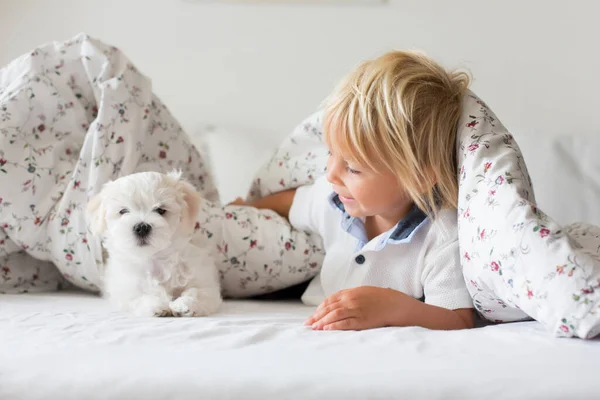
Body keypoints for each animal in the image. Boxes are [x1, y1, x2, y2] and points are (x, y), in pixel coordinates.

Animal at [86, 170, 223, 318]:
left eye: (160, 210)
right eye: (123, 211)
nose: (141, 227)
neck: (155, 259)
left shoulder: (204, 283)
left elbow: (197, 291)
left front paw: (184, 305)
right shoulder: (125, 290)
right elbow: (140, 297)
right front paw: (157, 305)